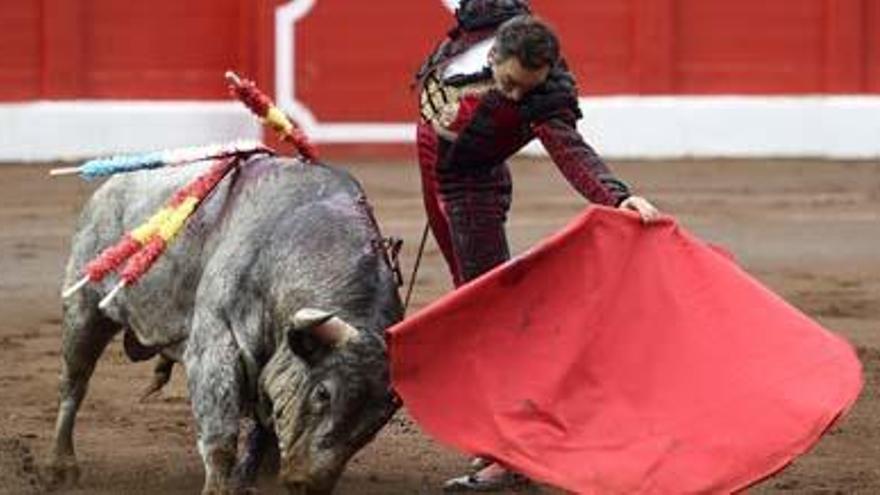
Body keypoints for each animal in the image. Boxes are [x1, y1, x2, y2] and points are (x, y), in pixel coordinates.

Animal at [49, 156, 406, 495]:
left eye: (378, 420)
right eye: (323, 393)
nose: (308, 484)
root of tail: (108, 188)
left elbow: (262, 426)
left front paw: (248, 480)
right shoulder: (213, 347)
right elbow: (221, 435)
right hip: (84, 308)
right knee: (74, 383)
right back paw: (61, 466)